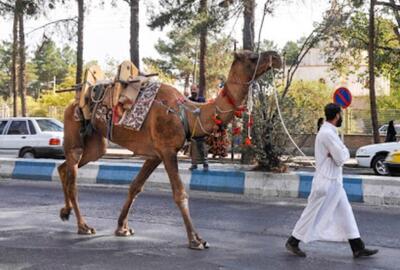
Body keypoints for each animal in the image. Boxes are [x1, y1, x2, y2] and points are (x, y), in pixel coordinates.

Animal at [57, 50, 282, 249]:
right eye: (252, 57)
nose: (277, 56)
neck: (189, 114)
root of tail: (72, 102)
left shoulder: (155, 154)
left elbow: (135, 187)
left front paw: (122, 228)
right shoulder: (167, 150)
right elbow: (180, 193)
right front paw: (196, 239)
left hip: (97, 144)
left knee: (64, 167)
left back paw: (65, 212)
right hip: (75, 127)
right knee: (72, 178)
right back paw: (83, 226)